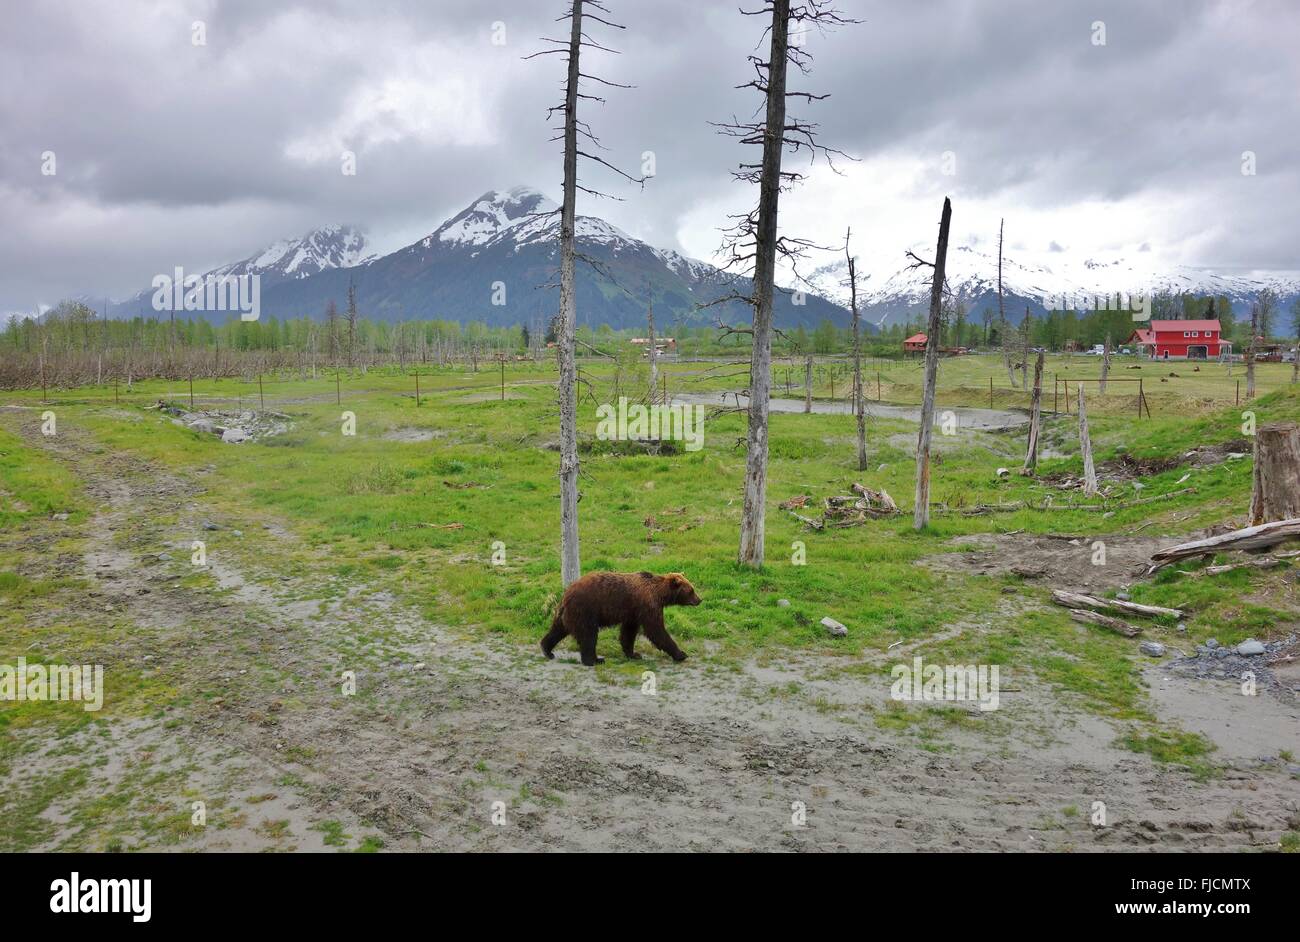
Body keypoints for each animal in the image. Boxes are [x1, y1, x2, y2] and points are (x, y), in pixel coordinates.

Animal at [540, 569, 702, 665]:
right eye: (691, 590)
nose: (699, 600)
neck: (660, 594)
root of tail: (567, 592)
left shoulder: (633, 612)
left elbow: (628, 632)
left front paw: (633, 653)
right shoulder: (647, 605)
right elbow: (656, 630)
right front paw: (681, 654)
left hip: (567, 613)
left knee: (558, 630)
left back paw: (547, 650)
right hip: (586, 610)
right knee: (589, 635)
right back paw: (594, 659)